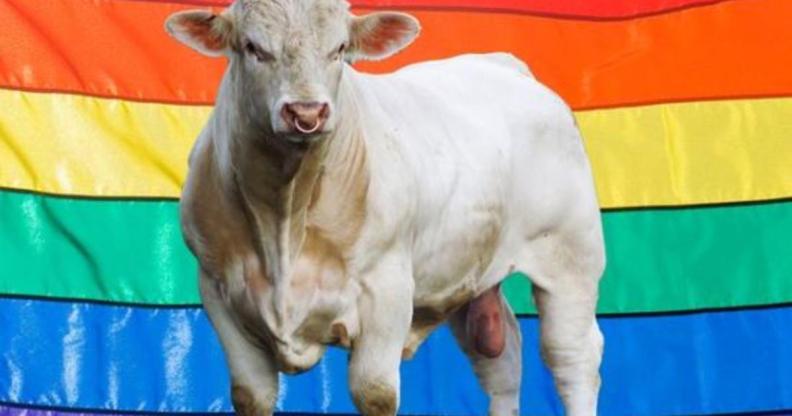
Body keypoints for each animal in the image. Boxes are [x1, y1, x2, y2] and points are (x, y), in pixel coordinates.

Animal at [166, 0, 605, 414]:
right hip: (470, 274)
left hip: (572, 257)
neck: (285, 212)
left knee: (573, 357)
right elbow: (251, 394)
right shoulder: (218, 292)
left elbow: (374, 391)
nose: (307, 113)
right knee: (500, 358)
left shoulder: (387, 290)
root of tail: (505, 66)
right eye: (253, 47)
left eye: (340, 49)